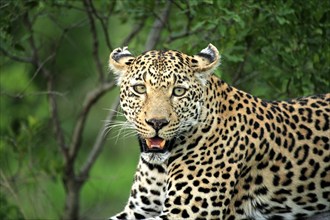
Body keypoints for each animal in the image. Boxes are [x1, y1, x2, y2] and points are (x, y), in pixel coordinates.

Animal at [107, 43, 328, 219]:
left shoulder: (185, 213)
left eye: (178, 91)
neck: (161, 167)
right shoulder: (139, 210)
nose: (157, 122)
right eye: (140, 89)